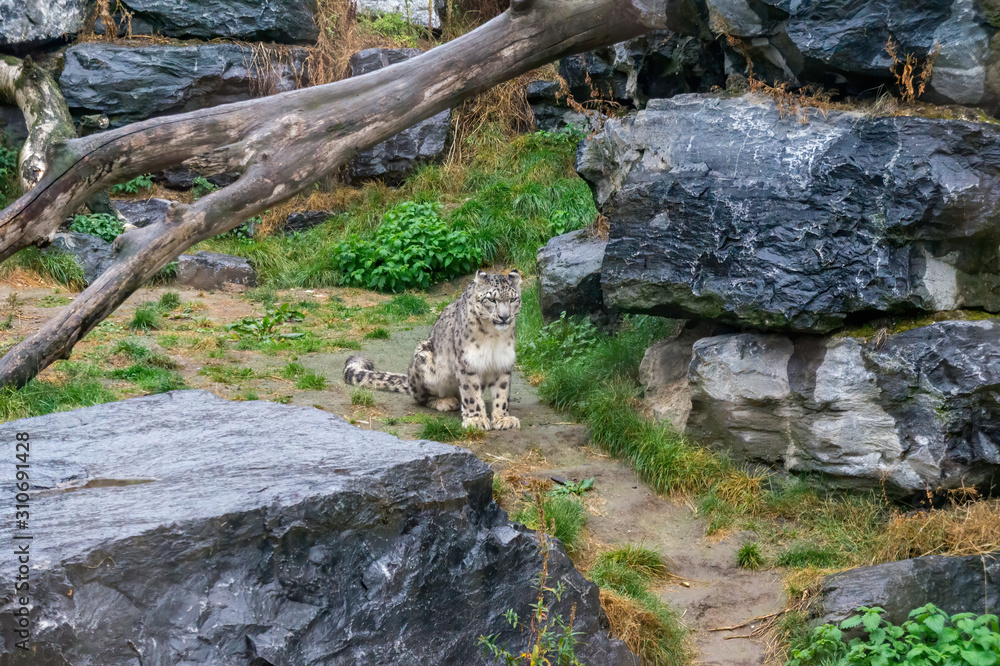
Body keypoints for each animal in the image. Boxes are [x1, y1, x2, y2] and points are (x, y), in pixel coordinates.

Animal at [343, 270, 522, 431]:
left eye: (513, 299)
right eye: (491, 299)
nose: (504, 317)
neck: (494, 336)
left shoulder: (503, 361)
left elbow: (502, 392)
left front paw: (503, 419)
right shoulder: (467, 362)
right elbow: (471, 393)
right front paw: (476, 419)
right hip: (424, 362)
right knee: (421, 398)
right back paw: (445, 402)